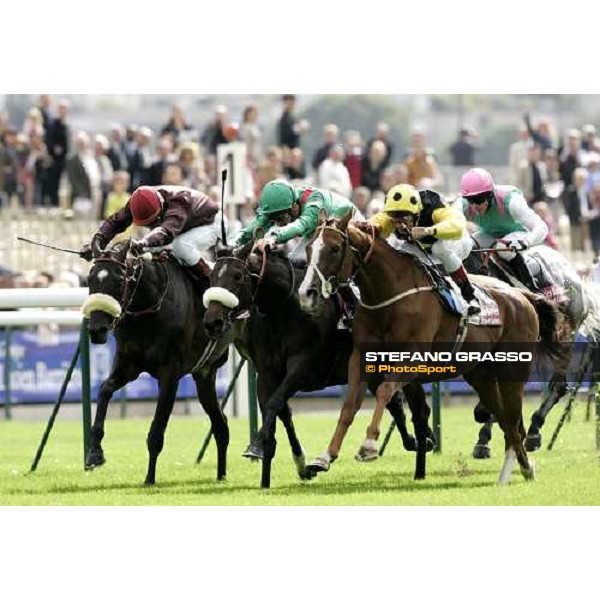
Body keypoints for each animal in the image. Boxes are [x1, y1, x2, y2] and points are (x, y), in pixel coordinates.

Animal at [84, 241, 239, 486]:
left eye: (118, 281)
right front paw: (94, 454)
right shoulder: (128, 365)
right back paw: (221, 475)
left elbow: (156, 432)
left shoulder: (170, 375)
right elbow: (104, 391)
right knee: (220, 423)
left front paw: (149, 478)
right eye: (90, 280)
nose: (96, 330)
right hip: (204, 374)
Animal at [202, 241, 422, 490]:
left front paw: (259, 445)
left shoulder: (303, 367)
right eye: (211, 276)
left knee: (395, 400)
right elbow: (279, 410)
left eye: (238, 275)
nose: (212, 322)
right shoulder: (267, 373)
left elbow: (275, 404)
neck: (284, 309)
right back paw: (414, 440)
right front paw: (284, 465)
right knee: (393, 402)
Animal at [300, 213, 564, 486]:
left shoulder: (412, 360)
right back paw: (524, 468)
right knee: (505, 421)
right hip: (481, 376)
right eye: (308, 248)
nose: (306, 294)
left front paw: (369, 445)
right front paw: (325, 457)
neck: (388, 295)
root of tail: (522, 296)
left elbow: (384, 391)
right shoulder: (361, 360)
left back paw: (517, 468)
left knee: (512, 421)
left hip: (513, 371)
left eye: (334, 248)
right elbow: (350, 405)